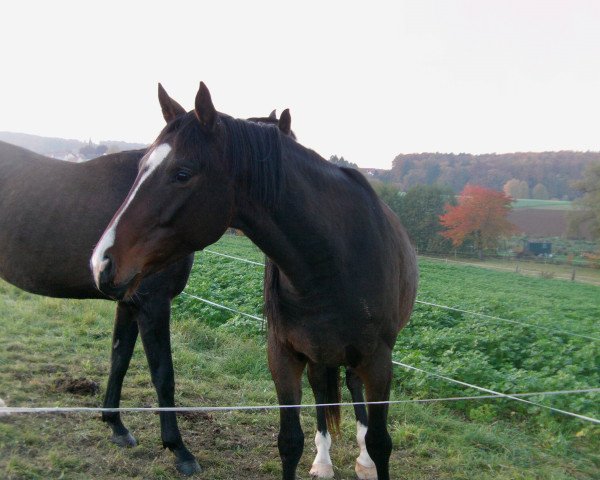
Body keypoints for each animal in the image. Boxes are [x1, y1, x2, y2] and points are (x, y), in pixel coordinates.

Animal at [0, 92, 290, 474]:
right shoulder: (153, 302)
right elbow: (162, 373)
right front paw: (179, 448)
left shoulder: (128, 300)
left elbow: (119, 358)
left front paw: (116, 425)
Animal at [92, 83, 418, 480]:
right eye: (140, 168)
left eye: (182, 173)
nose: (101, 262)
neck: (332, 261)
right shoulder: (284, 354)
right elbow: (289, 441)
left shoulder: (378, 360)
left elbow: (381, 441)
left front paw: (370, 456)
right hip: (318, 354)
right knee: (322, 391)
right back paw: (323, 460)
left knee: (352, 388)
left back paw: (361, 459)